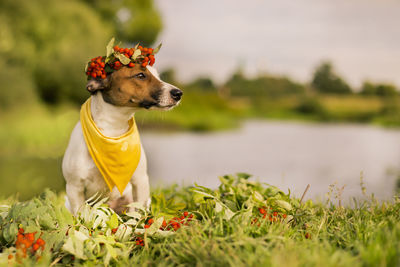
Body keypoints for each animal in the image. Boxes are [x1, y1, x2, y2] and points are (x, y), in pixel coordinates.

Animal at [62, 65, 183, 216]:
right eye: (141, 75)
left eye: (158, 75)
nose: (179, 93)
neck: (112, 130)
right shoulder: (74, 187)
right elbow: (82, 217)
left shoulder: (140, 181)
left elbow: (138, 213)